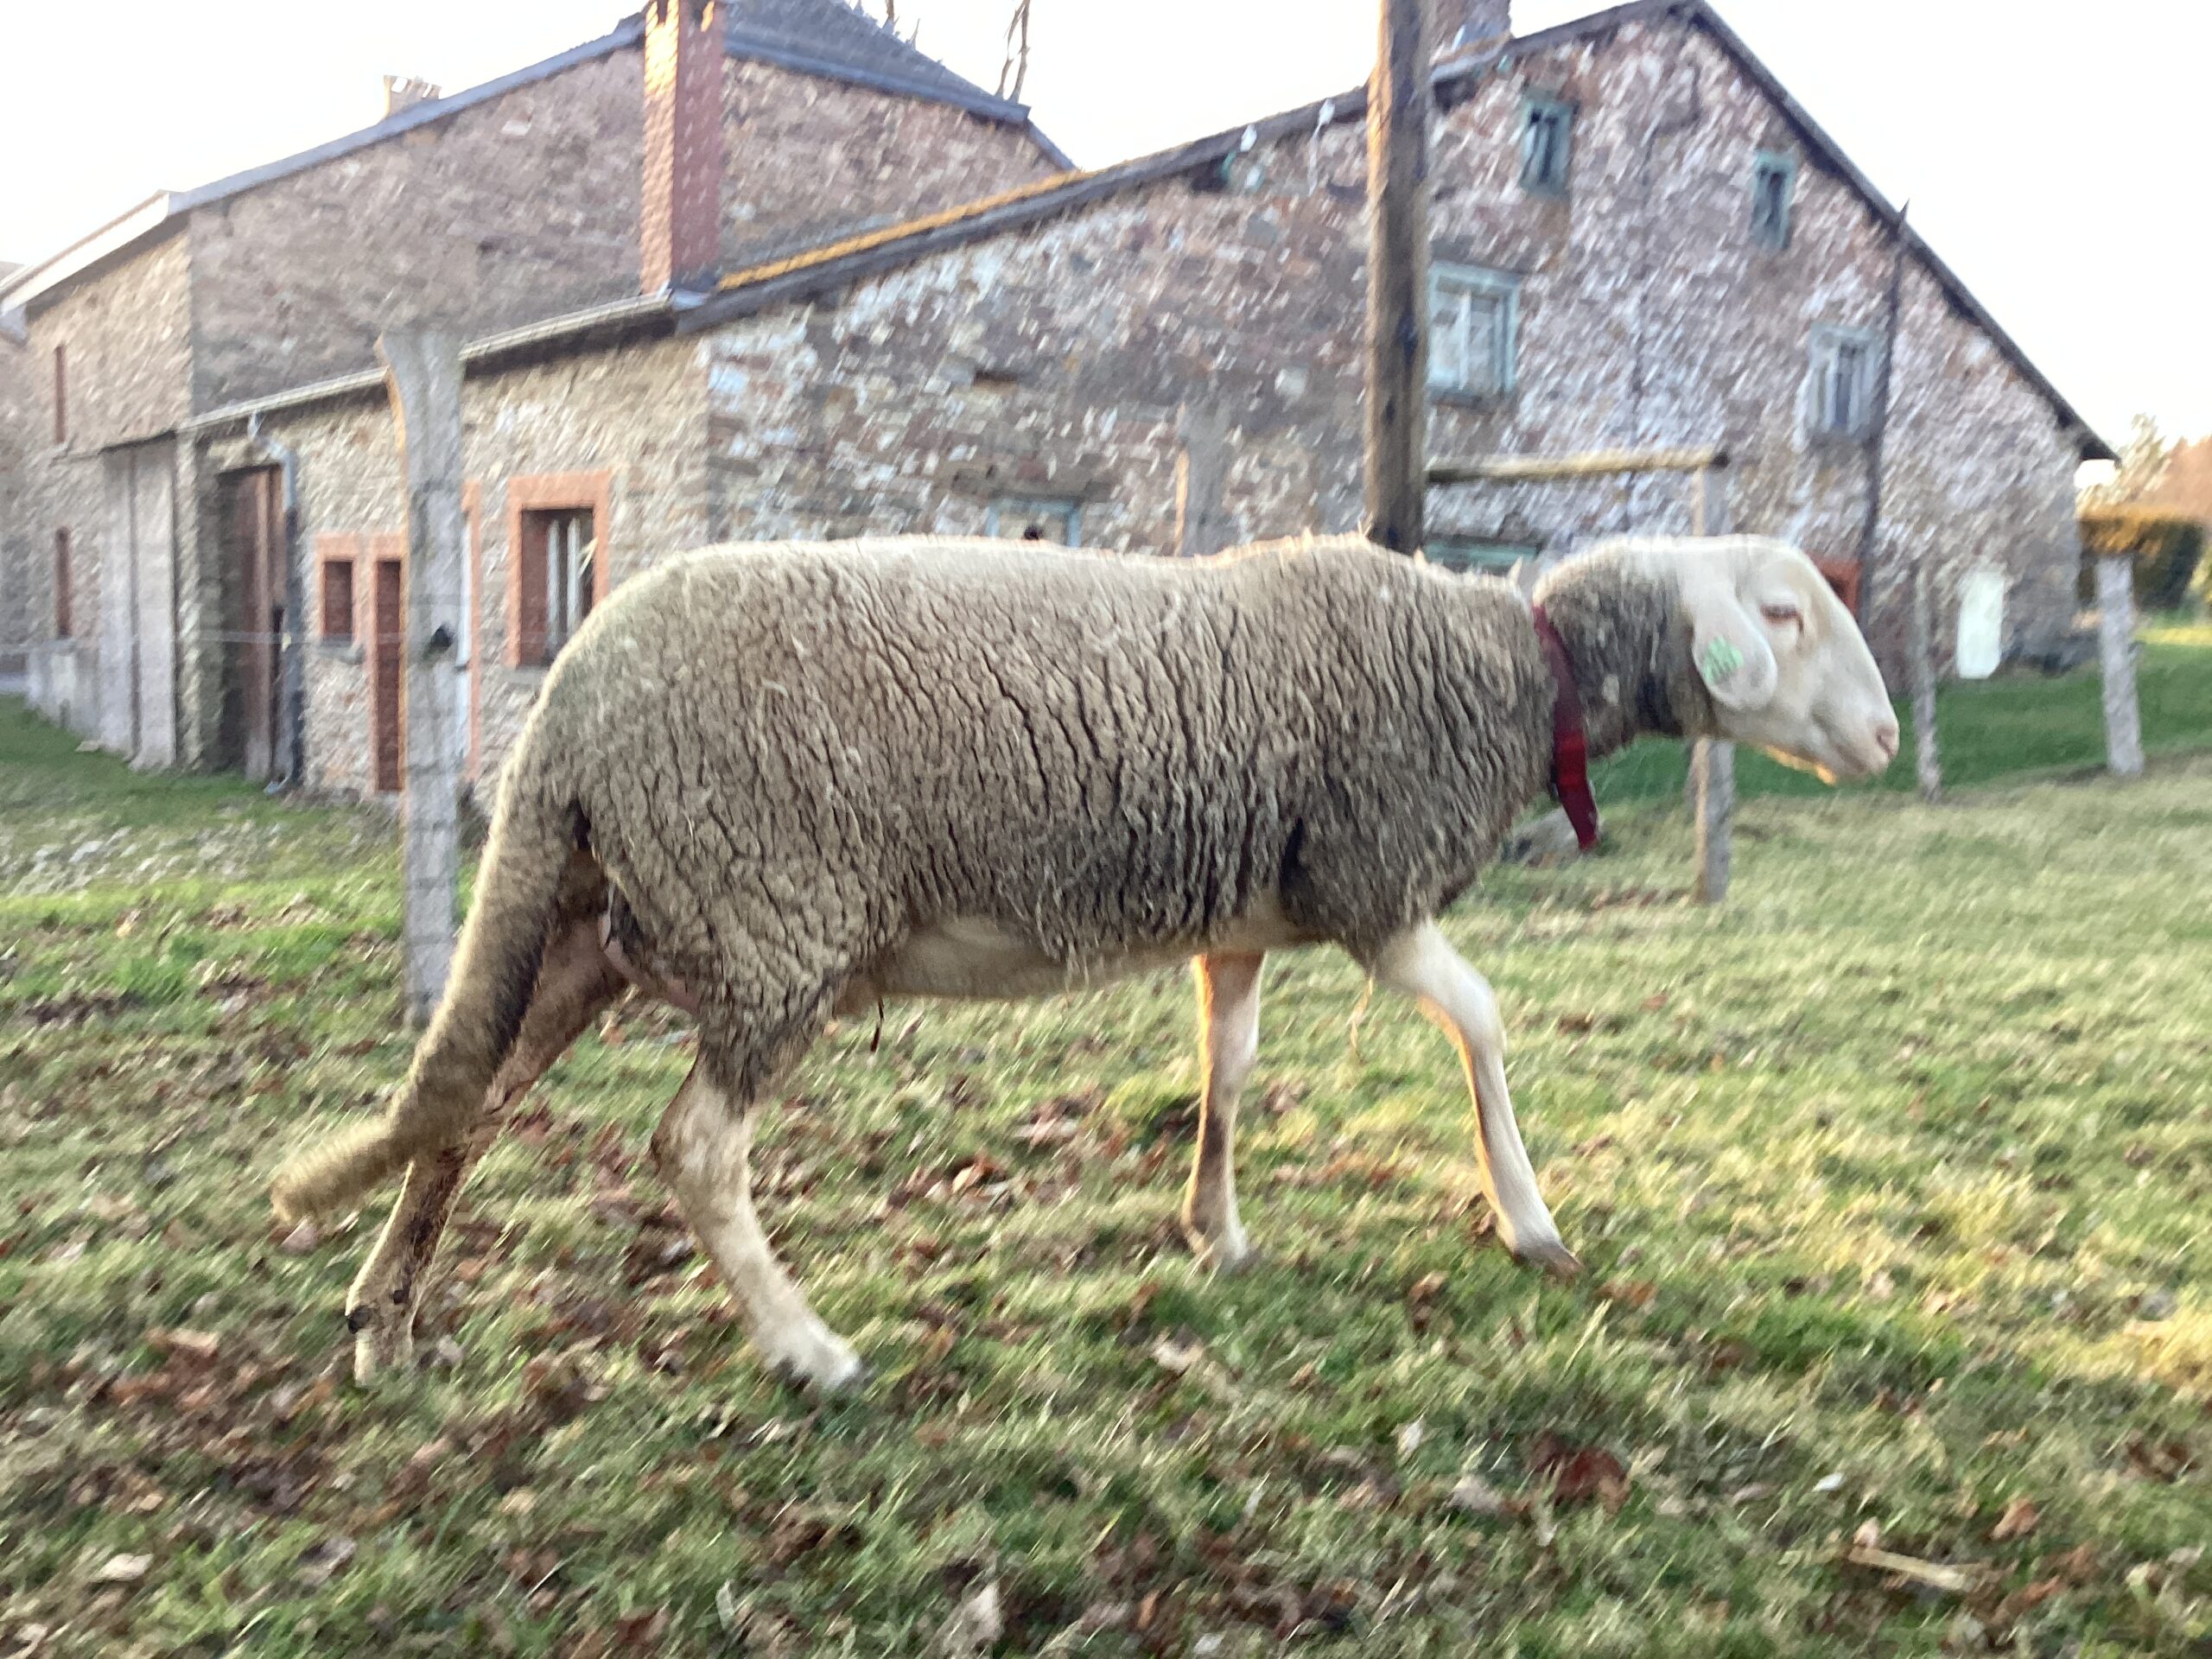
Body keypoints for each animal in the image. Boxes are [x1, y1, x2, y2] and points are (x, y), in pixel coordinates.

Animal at [271, 532, 1898, 1391]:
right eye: (1782, 612)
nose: (1885, 735)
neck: (1511, 678)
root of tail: (569, 708)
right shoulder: (1370, 884)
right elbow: (1487, 1021)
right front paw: (1531, 1219)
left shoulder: (1245, 917)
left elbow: (1229, 1064)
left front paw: (1214, 1226)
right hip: (769, 919)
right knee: (688, 1148)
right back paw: (806, 1347)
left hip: (601, 920)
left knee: (466, 1099)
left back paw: (381, 1319)